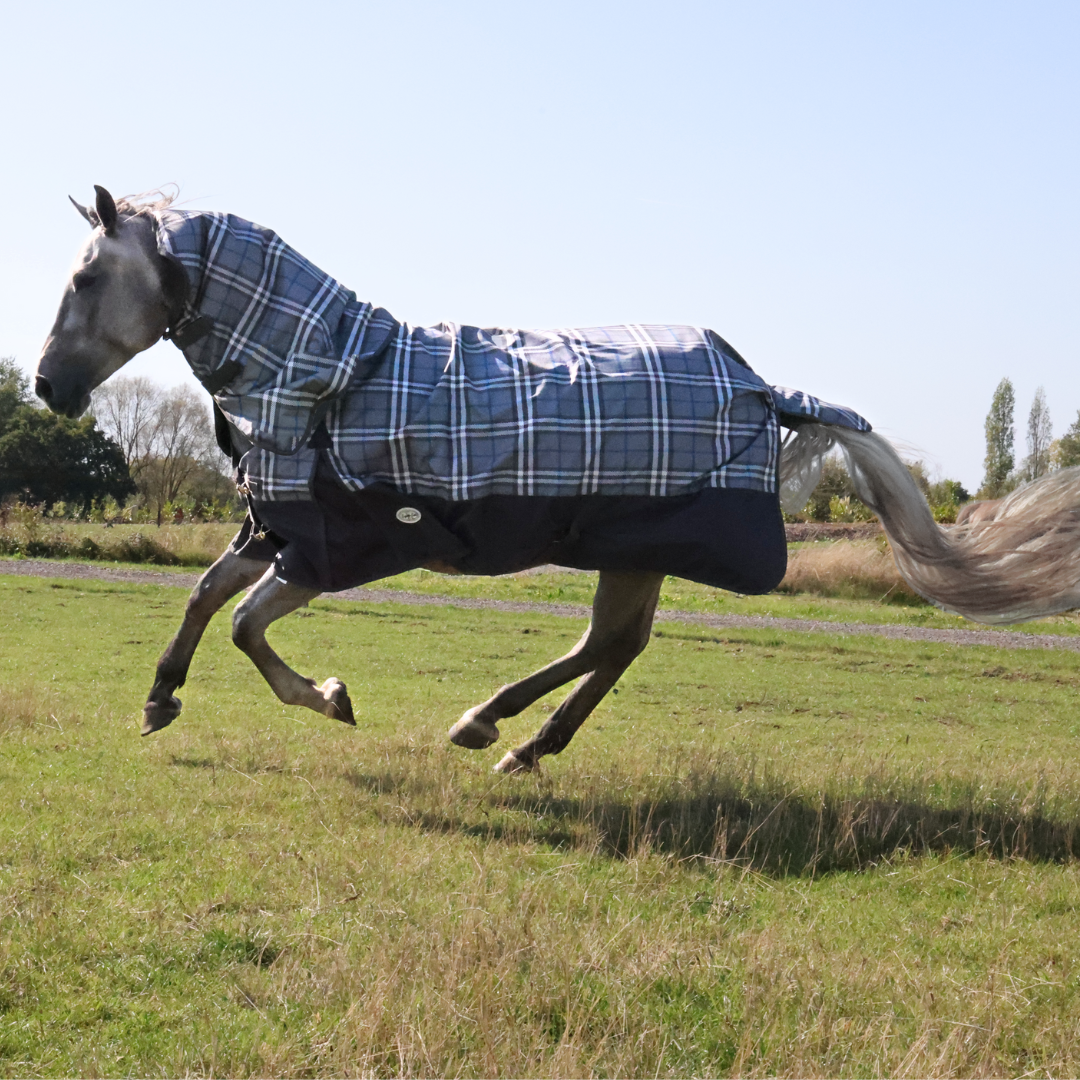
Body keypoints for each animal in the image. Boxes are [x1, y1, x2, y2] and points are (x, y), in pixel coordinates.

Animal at [35, 186, 1080, 774]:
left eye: (85, 279)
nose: (46, 387)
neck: (327, 374)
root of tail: (763, 387)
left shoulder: (338, 550)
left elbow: (247, 627)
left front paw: (330, 697)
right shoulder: (279, 531)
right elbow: (203, 599)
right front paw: (159, 701)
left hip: (638, 541)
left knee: (608, 647)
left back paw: (487, 729)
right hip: (633, 547)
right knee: (614, 648)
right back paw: (516, 742)